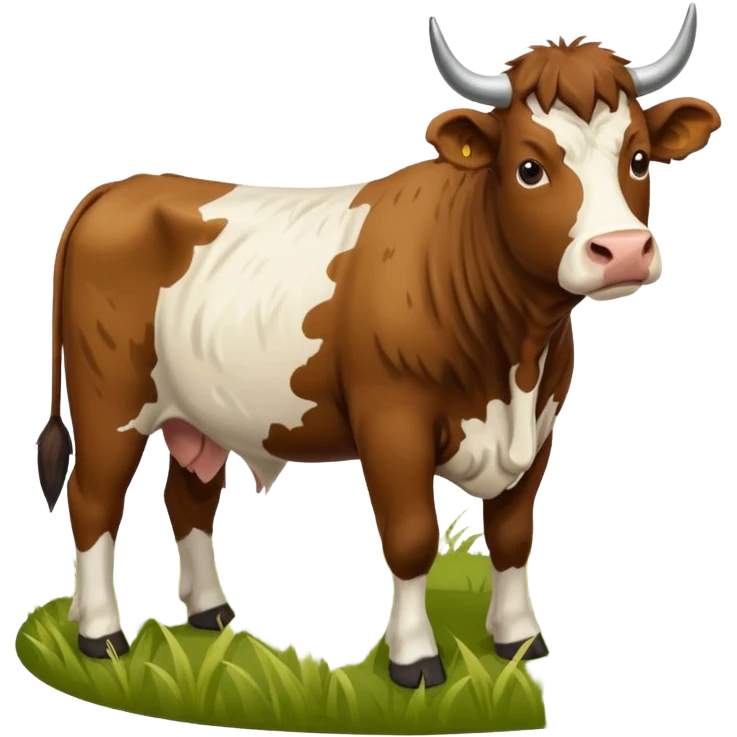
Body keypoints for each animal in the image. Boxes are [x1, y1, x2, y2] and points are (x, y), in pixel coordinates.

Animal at [34, 3, 720, 690]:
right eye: (530, 168)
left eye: (639, 159)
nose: (623, 250)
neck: (517, 359)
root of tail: (118, 188)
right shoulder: (393, 422)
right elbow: (412, 538)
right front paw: (414, 659)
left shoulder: (543, 425)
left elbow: (511, 534)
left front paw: (518, 641)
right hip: (109, 402)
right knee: (92, 500)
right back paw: (102, 636)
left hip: (199, 413)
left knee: (189, 499)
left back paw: (210, 614)